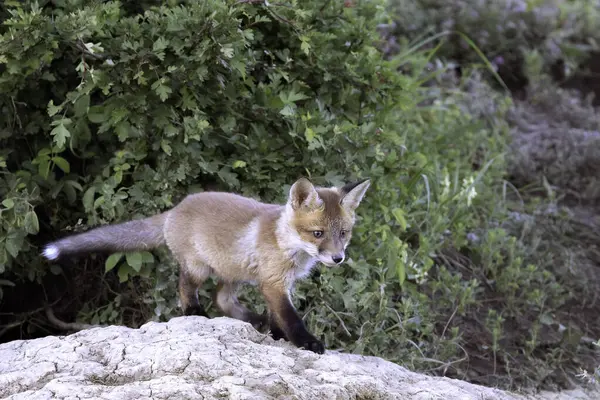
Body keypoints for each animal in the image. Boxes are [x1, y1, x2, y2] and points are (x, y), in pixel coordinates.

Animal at [41, 177, 370, 354]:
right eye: (318, 234)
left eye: (343, 233)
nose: (338, 258)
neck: (285, 242)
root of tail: (175, 209)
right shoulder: (273, 282)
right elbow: (291, 319)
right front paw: (306, 341)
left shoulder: (276, 283)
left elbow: (278, 317)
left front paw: (276, 335)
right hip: (199, 270)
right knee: (186, 290)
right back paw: (195, 313)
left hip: (234, 272)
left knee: (221, 299)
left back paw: (253, 321)